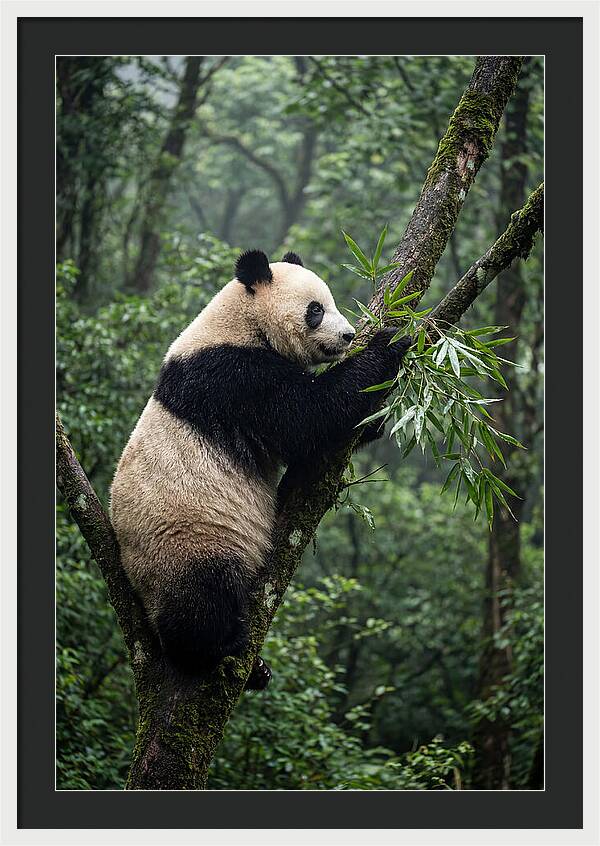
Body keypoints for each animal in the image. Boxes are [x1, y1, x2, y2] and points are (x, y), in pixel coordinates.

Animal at [110, 249, 410, 690]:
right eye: (316, 310)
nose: (348, 336)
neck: (241, 322)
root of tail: (137, 586)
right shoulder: (232, 377)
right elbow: (308, 417)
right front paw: (390, 342)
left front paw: (375, 419)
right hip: (186, 539)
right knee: (202, 598)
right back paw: (219, 647)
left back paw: (257, 670)